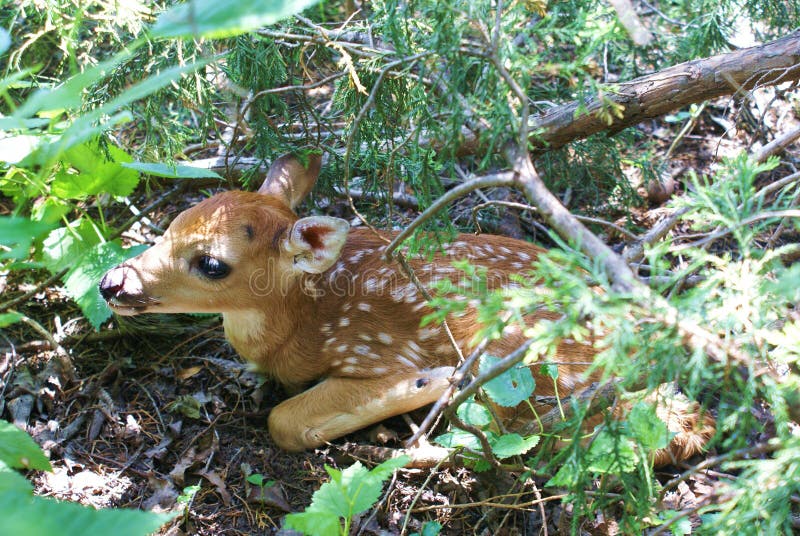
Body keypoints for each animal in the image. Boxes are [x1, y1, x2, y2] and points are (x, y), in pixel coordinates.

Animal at [100, 153, 712, 462]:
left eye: (212, 264)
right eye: (173, 224)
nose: (112, 283)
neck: (298, 328)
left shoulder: (370, 352)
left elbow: (284, 421)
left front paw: (424, 384)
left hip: (522, 359)